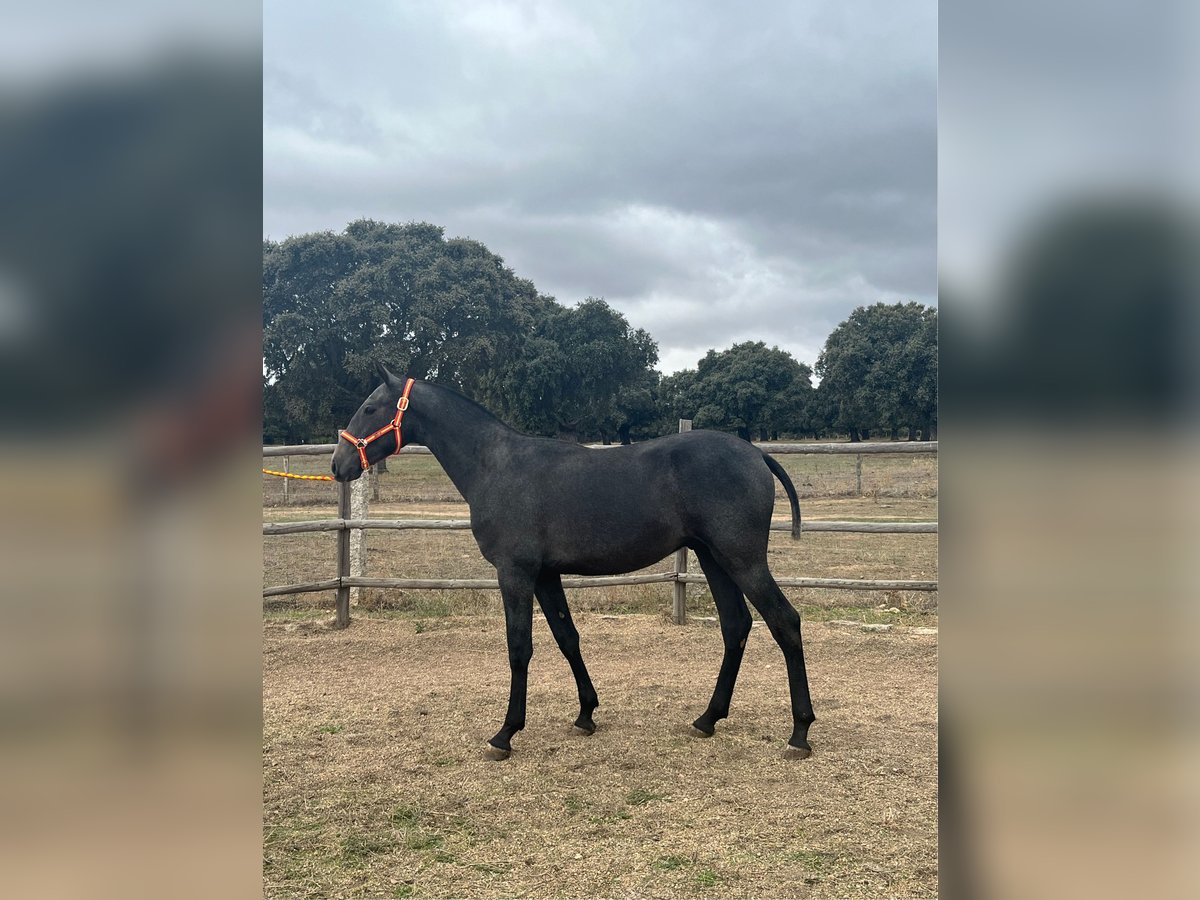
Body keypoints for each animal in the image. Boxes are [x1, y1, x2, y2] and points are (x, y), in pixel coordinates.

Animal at [331, 364, 816, 763]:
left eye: (369, 407)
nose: (338, 464)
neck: (495, 464)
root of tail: (756, 453)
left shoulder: (516, 573)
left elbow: (519, 647)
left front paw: (506, 733)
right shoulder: (546, 575)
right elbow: (568, 638)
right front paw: (586, 714)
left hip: (742, 559)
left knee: (784, 622)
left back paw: (799, 733)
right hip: (714, 559)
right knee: (736, 626)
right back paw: (708, 718)